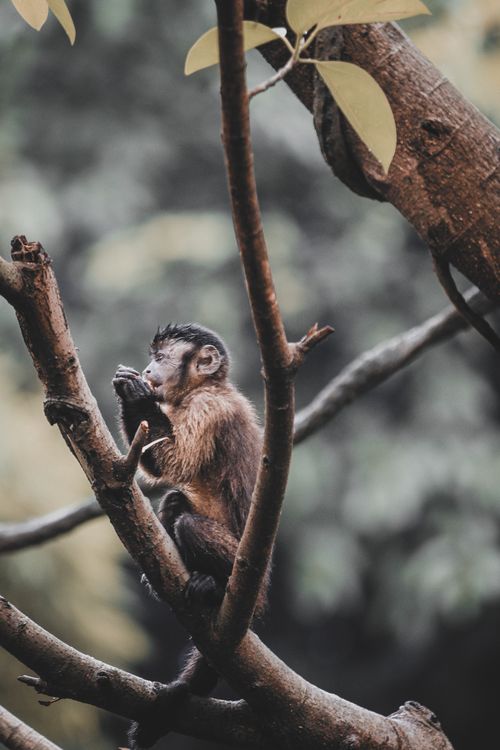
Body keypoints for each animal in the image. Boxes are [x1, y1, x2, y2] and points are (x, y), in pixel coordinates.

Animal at [112, 323, 267, 748]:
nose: (149, 371)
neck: (207, 386)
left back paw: (215, 586)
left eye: (161, 358)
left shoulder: (209, 407)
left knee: (187, 523)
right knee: (175, 503)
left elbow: (176, 461)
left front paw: (135, 395)